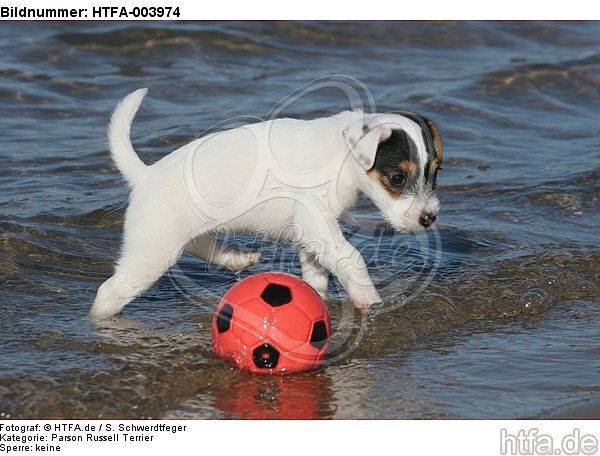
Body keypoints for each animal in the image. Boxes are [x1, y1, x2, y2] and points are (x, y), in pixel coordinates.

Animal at [91, 87, 442, 318]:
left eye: (435, 173)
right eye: (397, 178)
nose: (428, 218)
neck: (341, 155)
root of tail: (145, 175)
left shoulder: (312, 235)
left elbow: (316, 275)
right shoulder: (317, 226)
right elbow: (352, 258)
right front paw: (370, 301)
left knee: (199, 243)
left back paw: (236, 258)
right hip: (151, 253)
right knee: (109, 292)